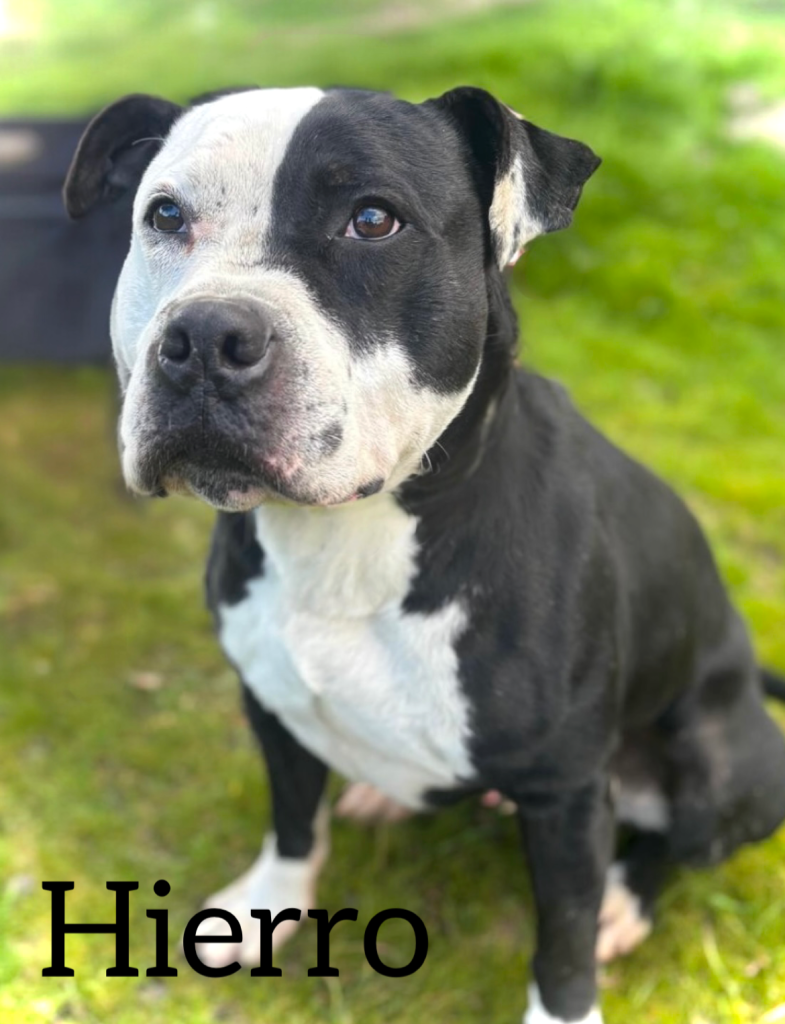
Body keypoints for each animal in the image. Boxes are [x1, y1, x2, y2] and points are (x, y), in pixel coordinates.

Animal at [64, 85, 785, 1023]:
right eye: (165, 216)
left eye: (373, 219)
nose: (203, 337)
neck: (345, 539)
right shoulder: (269, 701)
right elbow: (291, 821)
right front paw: (265, 909)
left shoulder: (563, 795)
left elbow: (561, 940)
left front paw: (571, 983)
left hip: (718, 760)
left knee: (677, 844)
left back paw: (624, 902)